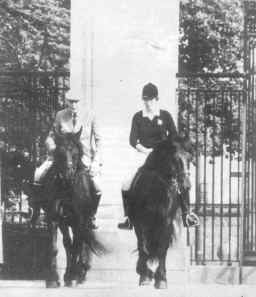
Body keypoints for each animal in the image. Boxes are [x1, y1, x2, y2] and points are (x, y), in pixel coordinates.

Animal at [28, 128, 106, 286]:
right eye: (60, 153)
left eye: (76, 153)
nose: (68, 176)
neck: (67, 189)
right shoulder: (55, 219)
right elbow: (57, 247)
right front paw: (53, 279)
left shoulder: (79, 221)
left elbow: (76, 246)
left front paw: (73, 276)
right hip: (66, 222)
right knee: (69, 243)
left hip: (83, 222)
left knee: (81, 243)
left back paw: (80, 272)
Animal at [126, 137, 189, 290]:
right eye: (175, 159)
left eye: (189, 158)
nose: (186, 186)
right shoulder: (140, 223)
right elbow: (143, 247)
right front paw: (145, 275)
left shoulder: (166, 223)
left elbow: (161, 249)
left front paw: (161, 279)